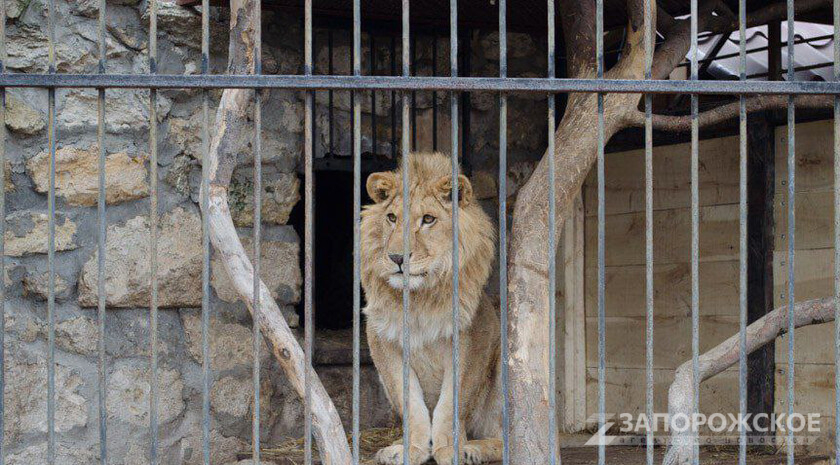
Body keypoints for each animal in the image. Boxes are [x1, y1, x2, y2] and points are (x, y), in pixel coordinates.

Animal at [360, 150, 502, 462]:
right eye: (391, 218)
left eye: (428, 219)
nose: (397, 257)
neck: (418, 298)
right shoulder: (383, 341)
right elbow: (410, 403)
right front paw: (411, 448)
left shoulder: (472, 338)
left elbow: (451, 403)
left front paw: (450, 448)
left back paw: (474, 449)